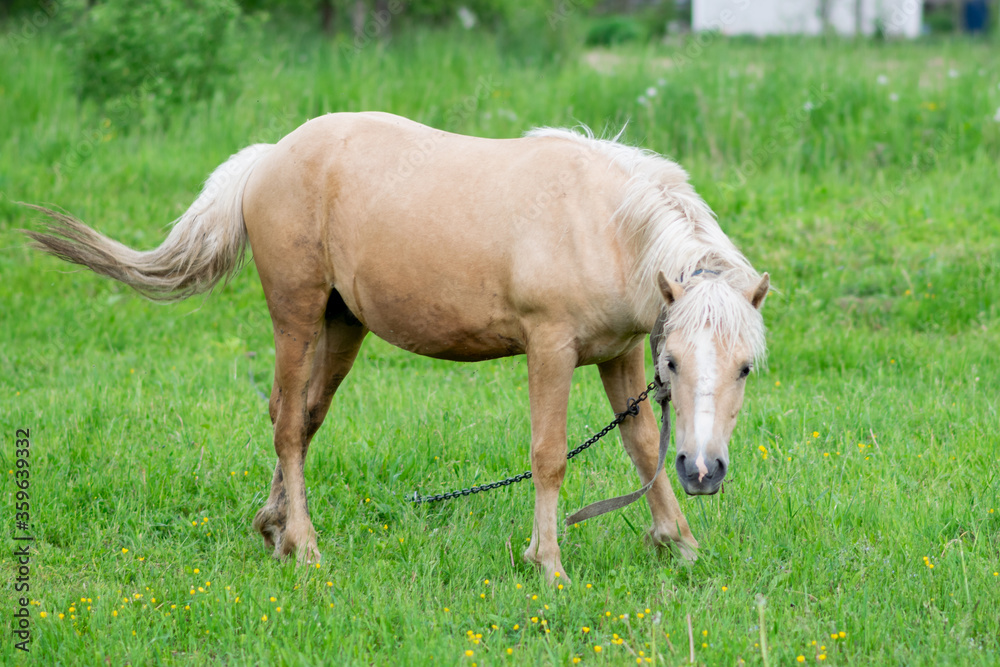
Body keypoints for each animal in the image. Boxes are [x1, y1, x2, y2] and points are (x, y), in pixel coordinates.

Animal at [24, 111, 769, 583]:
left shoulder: (616, 354)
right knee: (288, 425)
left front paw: (679, 542)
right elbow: (549, 455)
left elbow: (641, 446)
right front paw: (548, 564)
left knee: (299, 419)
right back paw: (305, 547)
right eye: (673, 361)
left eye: (744, 367)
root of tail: (269, 156)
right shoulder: (550, 348)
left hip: (341, 325)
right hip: (296, 317)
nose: (705, 472)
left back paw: (274, 530)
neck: (603, 224)